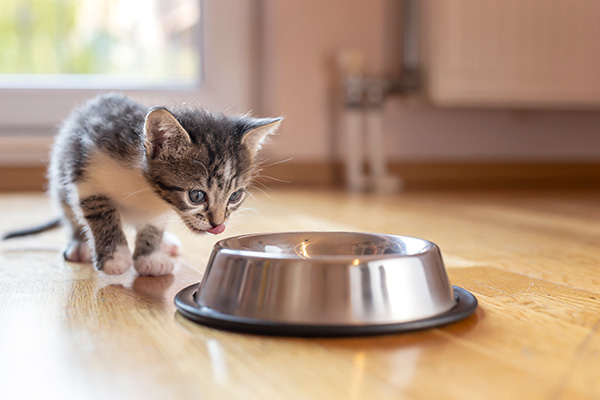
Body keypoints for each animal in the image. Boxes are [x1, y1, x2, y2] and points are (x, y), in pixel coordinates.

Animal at [2, 93, 282, 276]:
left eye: (235, 196)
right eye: (196, 195)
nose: (218, 225)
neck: (143, 185)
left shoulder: (156, 209)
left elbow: (152, 225)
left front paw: (150, 256)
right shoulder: (85, 175)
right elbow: (101, 213)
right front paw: (115, 257)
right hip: (59, 176)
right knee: (70, 214)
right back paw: (80, 244)